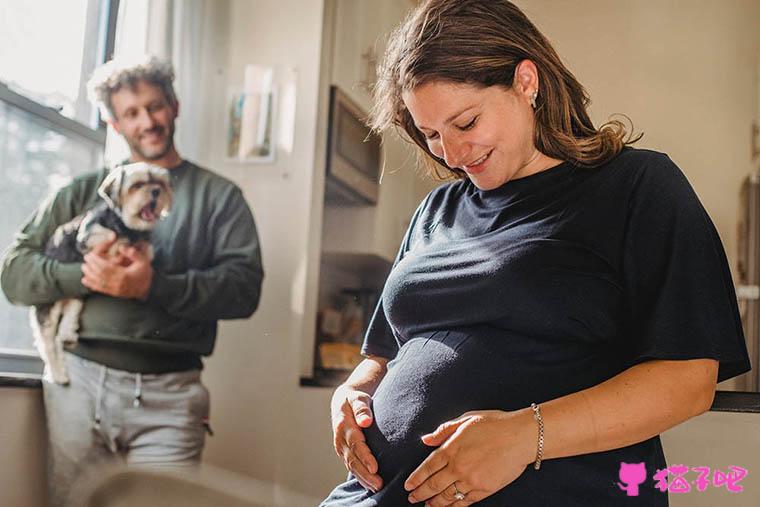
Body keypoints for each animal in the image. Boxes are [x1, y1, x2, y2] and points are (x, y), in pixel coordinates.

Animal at [31, 164, 172, 384]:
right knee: (47, 342)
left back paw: (68, 334)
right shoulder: (87, 237)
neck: (126, 225)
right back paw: (58, 374)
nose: (157, 191)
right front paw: (119, 245)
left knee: (69, 315)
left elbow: (146, 250)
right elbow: (109, 237)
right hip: (49, 304)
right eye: (138, 184)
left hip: (74, 296)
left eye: (161, 183)